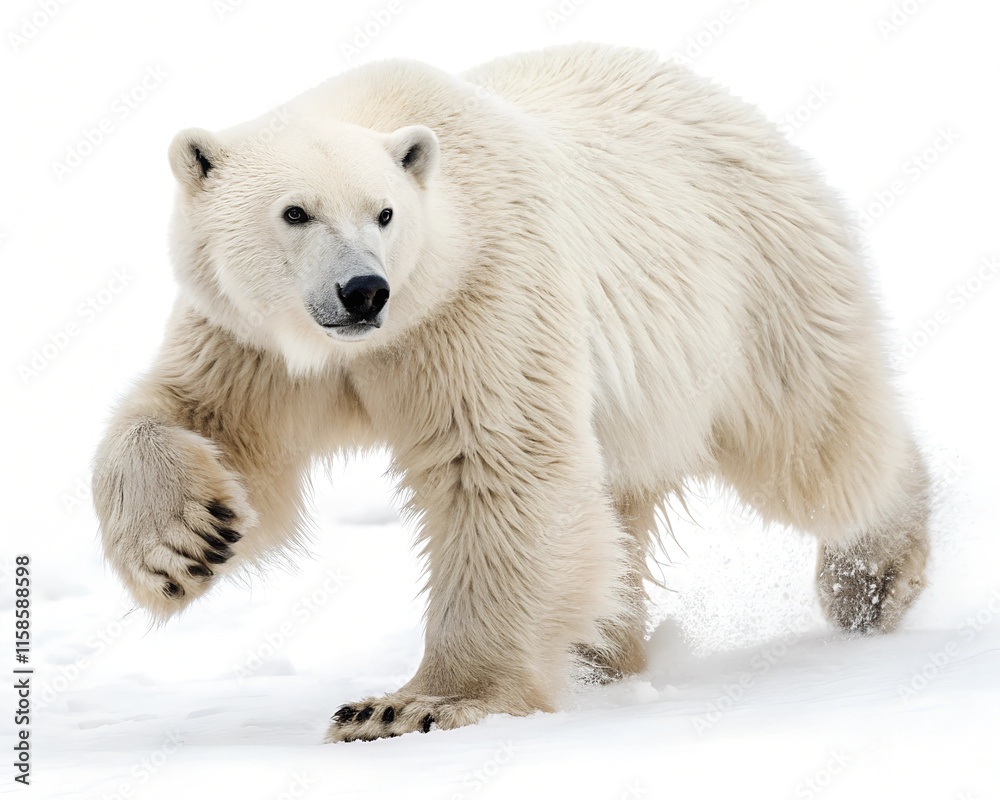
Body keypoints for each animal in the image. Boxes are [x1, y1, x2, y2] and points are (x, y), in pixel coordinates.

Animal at [92, 42, 930, 743]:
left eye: (384, 213)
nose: (363, 291)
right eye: (295, 211)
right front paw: (183, 545)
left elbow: (499, 466)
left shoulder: (479, 294)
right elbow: (211, 425)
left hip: (755, 292)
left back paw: (870, 578)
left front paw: (408, 706)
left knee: (817, 447)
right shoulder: (254, 342)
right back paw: (600, 651)